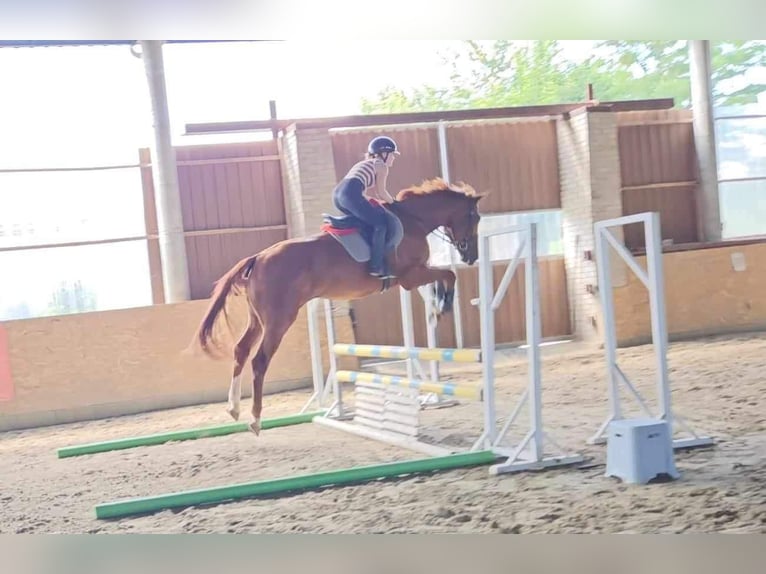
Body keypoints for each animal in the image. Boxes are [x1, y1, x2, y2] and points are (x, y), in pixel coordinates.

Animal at [190, 178, 486, 434]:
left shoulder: (414, 276)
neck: (414, 220)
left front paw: (438, 306)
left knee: (240, 350)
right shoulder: (410, 277)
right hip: (278, 320)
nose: (471, 256)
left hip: (257, 319)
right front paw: (441, 306)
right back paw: (255, 420)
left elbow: (446, 275)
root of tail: (259, 257)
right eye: (475, 217)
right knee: (259, 360)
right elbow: (449, 274)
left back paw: (234, 408)